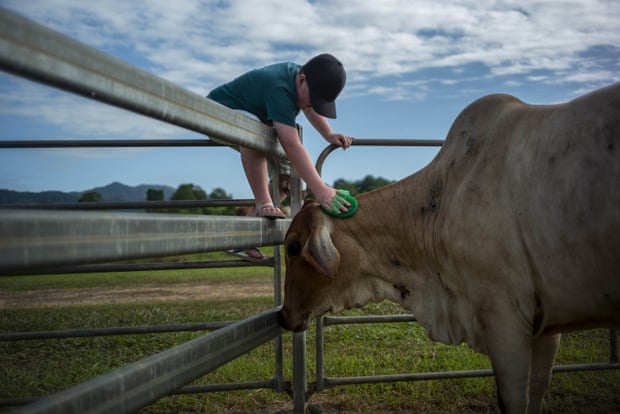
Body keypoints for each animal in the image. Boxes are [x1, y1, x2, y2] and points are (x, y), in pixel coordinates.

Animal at [280, 82, 620, 412]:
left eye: (294, 247)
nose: (283, 316)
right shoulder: (547, 327)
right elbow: (537, 391)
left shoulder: (503, 317)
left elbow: (513, 399)